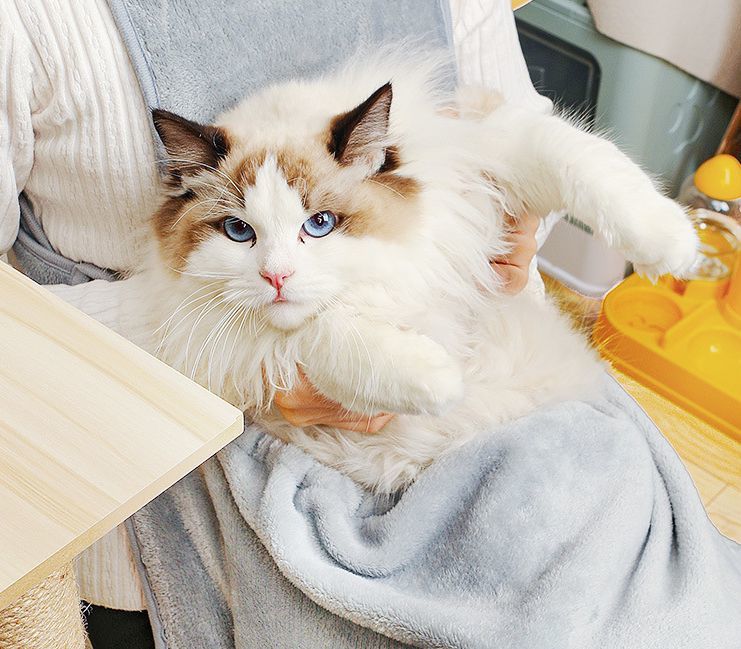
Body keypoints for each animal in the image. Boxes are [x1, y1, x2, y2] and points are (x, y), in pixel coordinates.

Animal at [139, 50, 697, 493]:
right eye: (238, 231)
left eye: (319, 224)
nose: (276, 278)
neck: (398, 259)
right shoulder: (223, 344)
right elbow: (322, 332)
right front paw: (440, 380)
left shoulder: (488, 153)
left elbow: (586, 163)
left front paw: (678, 249)